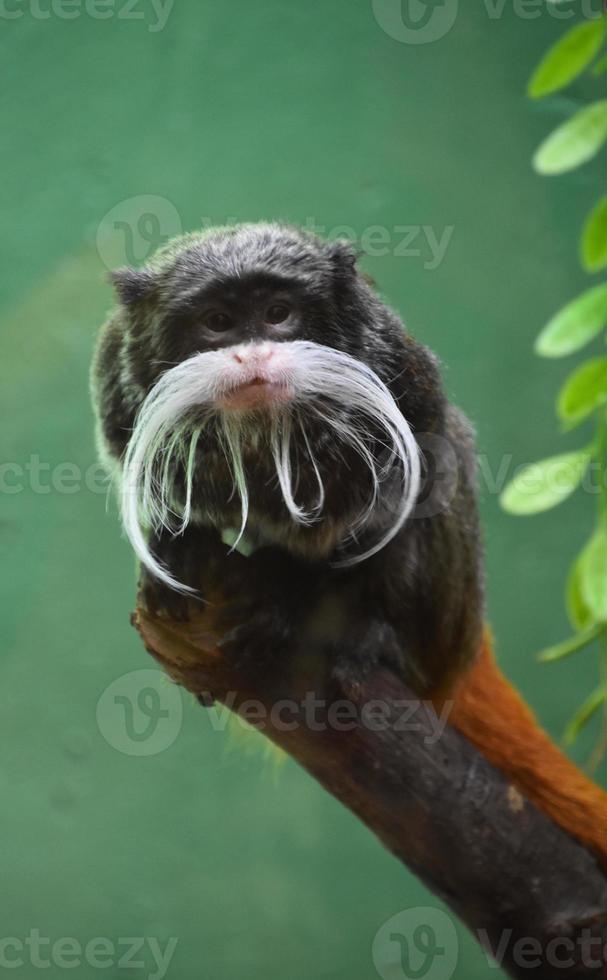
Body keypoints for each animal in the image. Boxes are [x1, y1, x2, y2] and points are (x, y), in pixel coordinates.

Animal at [91, 225, 484, 692]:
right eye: (218, 322)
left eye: (278, 313)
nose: (254, 355)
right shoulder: (118, 391)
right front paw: (179, 546)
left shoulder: (400, 370)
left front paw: (287, 599)